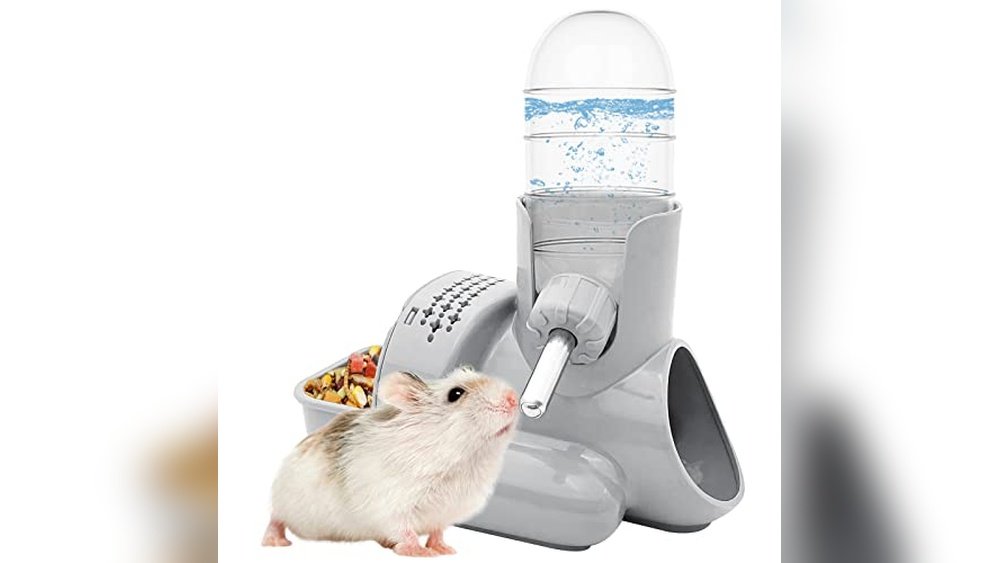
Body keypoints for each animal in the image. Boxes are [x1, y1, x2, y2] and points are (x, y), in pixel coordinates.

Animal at [262, 366, 519, 557]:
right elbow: (405, 531)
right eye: (455, 394)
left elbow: (437, 531)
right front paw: (420, 553)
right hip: (284, 499)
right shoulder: (390, 506)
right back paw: (274, 542)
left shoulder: (446, 511)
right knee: (275, 519)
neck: (462, 460)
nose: (513, 398)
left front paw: (445, 550)